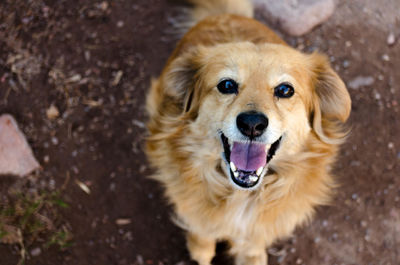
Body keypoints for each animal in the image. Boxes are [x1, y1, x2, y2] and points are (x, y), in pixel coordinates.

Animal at [146, 0, 350, 262]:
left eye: (285, 90)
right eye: (226, 85)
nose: (252, 124)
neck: (241, 194)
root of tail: (225, 14)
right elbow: (202, 234)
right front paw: (200, 249)